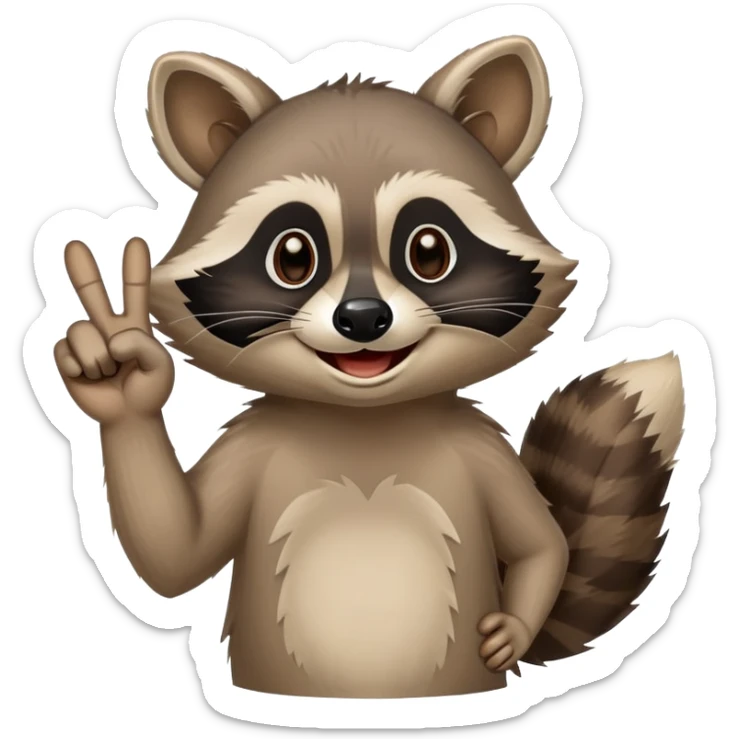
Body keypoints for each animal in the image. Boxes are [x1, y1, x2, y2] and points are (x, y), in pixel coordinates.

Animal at [54, 36, 685, 699]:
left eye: (429, 251)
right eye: (293, 255)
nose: (362, 318)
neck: (364, 421)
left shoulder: (480, 448)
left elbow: (545, 545)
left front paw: (513, 626)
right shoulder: (253, 445)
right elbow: (178, 552)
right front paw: (125, 384)